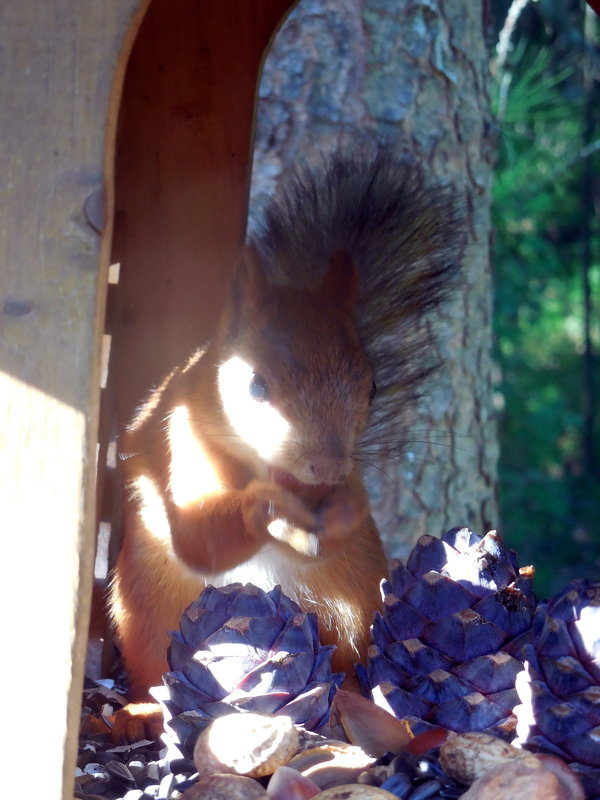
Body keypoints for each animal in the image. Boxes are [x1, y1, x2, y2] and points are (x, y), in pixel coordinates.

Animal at [109, 152, 464, 736]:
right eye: (256, 386)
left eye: (372, 385)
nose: (326, 466)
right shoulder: (178, 445)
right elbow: (198, 538)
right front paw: (270, 508)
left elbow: (344, 517)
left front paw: (341, 509)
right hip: (146, 605)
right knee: (149, 670)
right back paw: (139, 710)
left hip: (353, 599)